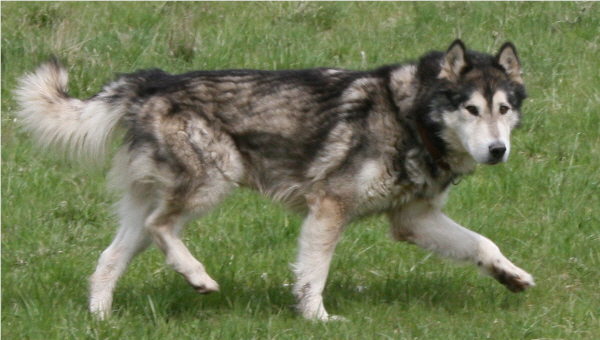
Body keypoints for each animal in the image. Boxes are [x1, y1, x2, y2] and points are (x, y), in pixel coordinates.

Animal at [15, 39, 536, 322]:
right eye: (470, 109)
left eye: (504, 109)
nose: (498, 151)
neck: (409, 116)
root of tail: (153, 80)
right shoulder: (330, 207)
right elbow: (313, 274)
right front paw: (318, 319)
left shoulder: (415, 220)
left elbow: (482, 243)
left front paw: (511, 276)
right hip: (212, 181)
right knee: (162, 228)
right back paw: (197, 275)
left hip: (150, 206)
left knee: (109, 259)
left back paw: (102, 318)